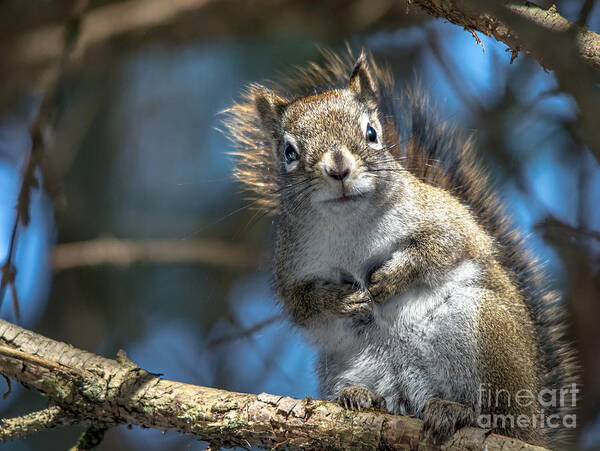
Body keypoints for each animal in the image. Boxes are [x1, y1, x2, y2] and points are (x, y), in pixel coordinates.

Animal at [223, 50, 580, 448]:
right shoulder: (291, 264)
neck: (350, 226)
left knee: (496, 414)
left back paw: (457, 411)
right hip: (343, 362)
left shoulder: (445, 217)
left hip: (484, 334)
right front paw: (340, 301)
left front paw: (394, 276)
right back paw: (358, 396)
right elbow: (300, 303)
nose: (338, 168)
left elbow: (442, 246)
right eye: (288, 152)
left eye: (372, 133)